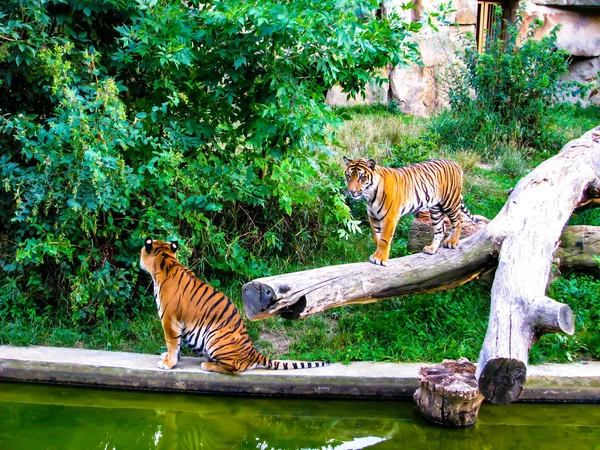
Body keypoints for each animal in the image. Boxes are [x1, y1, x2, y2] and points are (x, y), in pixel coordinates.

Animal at [139, 237, 328, 374]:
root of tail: (253, 353)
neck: (166, 262)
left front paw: (167, 364)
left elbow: (172, 343)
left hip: (214, 337)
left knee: (234, 369)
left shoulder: (169, 320)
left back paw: (207, 365)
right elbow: (177, 346)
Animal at [344, 157, 480, 266]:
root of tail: (456, 164)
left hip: (450, 202)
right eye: (348, 176)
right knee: (440, 229)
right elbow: (377, 237)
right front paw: (378, 254)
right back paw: (431, 249)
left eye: (361, 177)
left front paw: (380, 258)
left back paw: (452, 242)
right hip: (436, 209)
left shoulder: (390, 218)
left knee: (458, 221)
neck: (370, 196)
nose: (351, 191)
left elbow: (384, 239)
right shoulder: (373, 217)